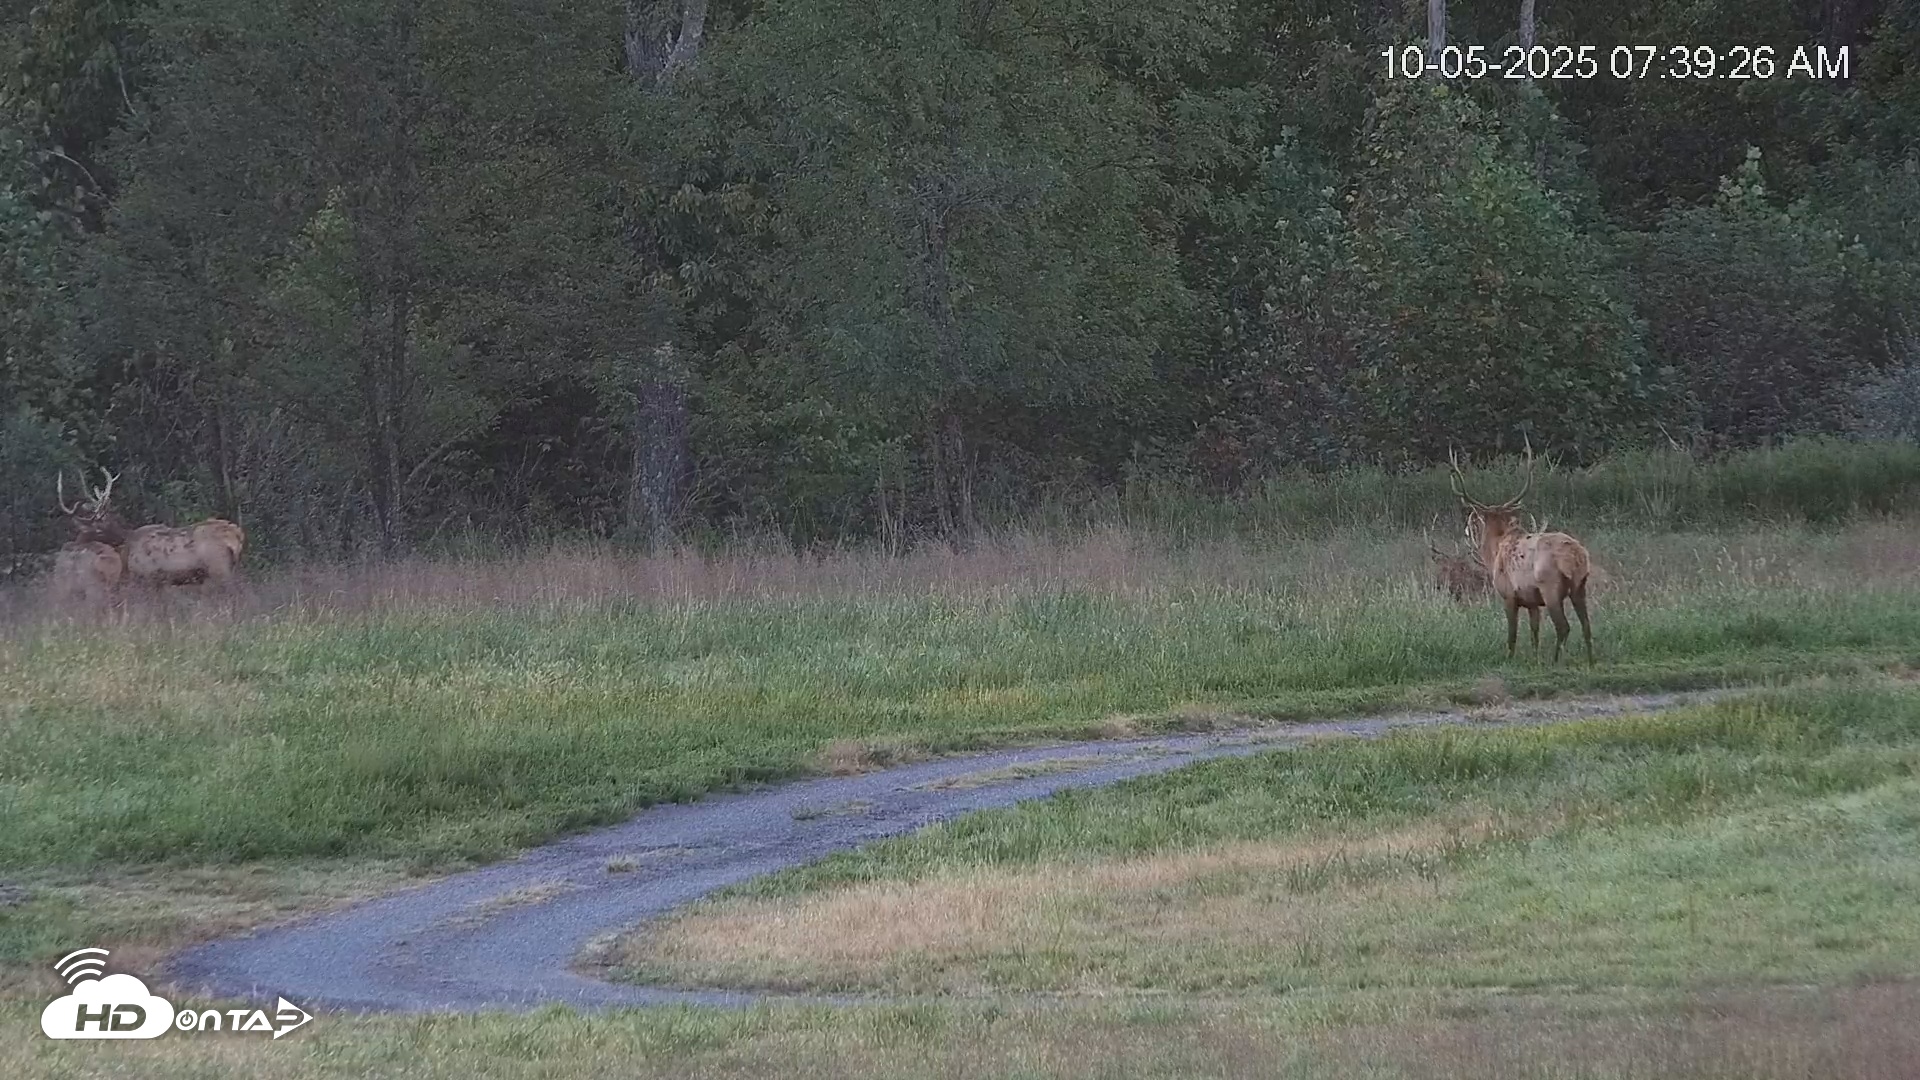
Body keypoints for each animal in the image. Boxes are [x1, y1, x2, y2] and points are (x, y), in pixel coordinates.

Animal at [1447, 437, 1593, 665]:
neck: (1494, 553)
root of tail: (1576, 556)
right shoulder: (1532, 601)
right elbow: (1534, 633)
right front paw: (1534, 658)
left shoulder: (1508, 595)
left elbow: (1512, 634)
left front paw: (1509, 658)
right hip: (1580, 585)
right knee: (1586, 626)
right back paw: (1591, 659)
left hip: (1550, 586)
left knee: (1563, 627)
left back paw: (1555, 660)